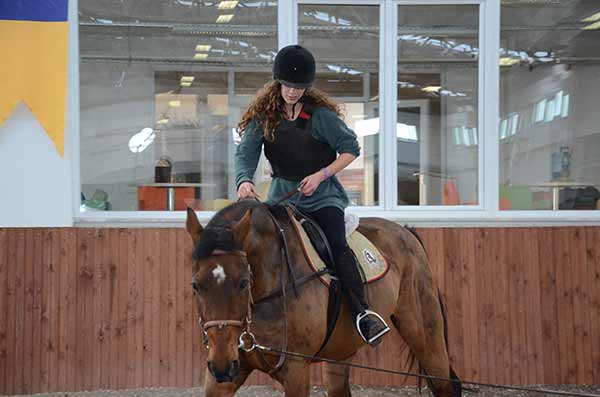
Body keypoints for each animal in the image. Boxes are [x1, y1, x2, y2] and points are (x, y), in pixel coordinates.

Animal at [185, 201, 462, 396]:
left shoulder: (295, 369)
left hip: (425, 335)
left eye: (243, 283)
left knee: (446, 384)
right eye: (196, 285)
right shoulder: (226, 370)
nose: (222, 366)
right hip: (341, 349)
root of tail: (407, 232)